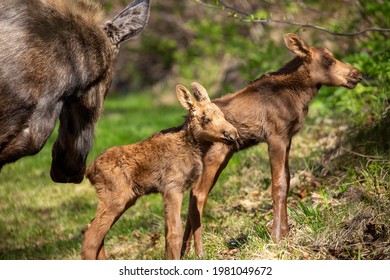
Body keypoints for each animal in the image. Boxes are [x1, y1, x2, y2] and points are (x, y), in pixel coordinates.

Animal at [82, 82, 238, 260]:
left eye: (223, 115)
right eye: (206, 119)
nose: (232, 134)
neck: (195, 149)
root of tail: (88, 172)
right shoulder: (172, 187)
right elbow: (174, 233)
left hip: (125, 198)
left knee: (92, 229)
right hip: (115, 197)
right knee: (91, 235)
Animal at [182, 33, 362, 258]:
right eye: (328, 60)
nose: (357, 74)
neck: (299, 96)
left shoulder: (288, 138)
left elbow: (287, 180)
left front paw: (285, 233)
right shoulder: (276, 137)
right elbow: (278, 184)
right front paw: (276, 237)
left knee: (191, 195)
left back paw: (183, 251)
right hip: (217, 153)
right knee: (198, 195)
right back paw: (200, 252)